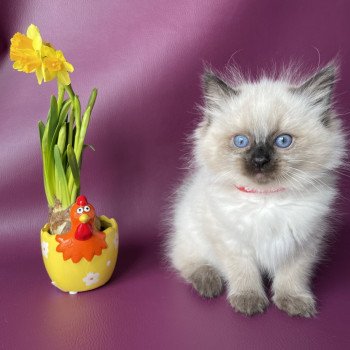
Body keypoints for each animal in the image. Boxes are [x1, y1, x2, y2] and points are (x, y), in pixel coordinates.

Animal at [168, 63, 346, 318]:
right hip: (192, 237)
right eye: (241, 142)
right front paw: (248, 301)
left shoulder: (302, 245)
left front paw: (293, 301)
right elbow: (244, 273)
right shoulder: (232, 243)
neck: (266, 199)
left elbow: (292, 276)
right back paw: (209, 283)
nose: (260, 160)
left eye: (283, 141)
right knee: (187, 261)